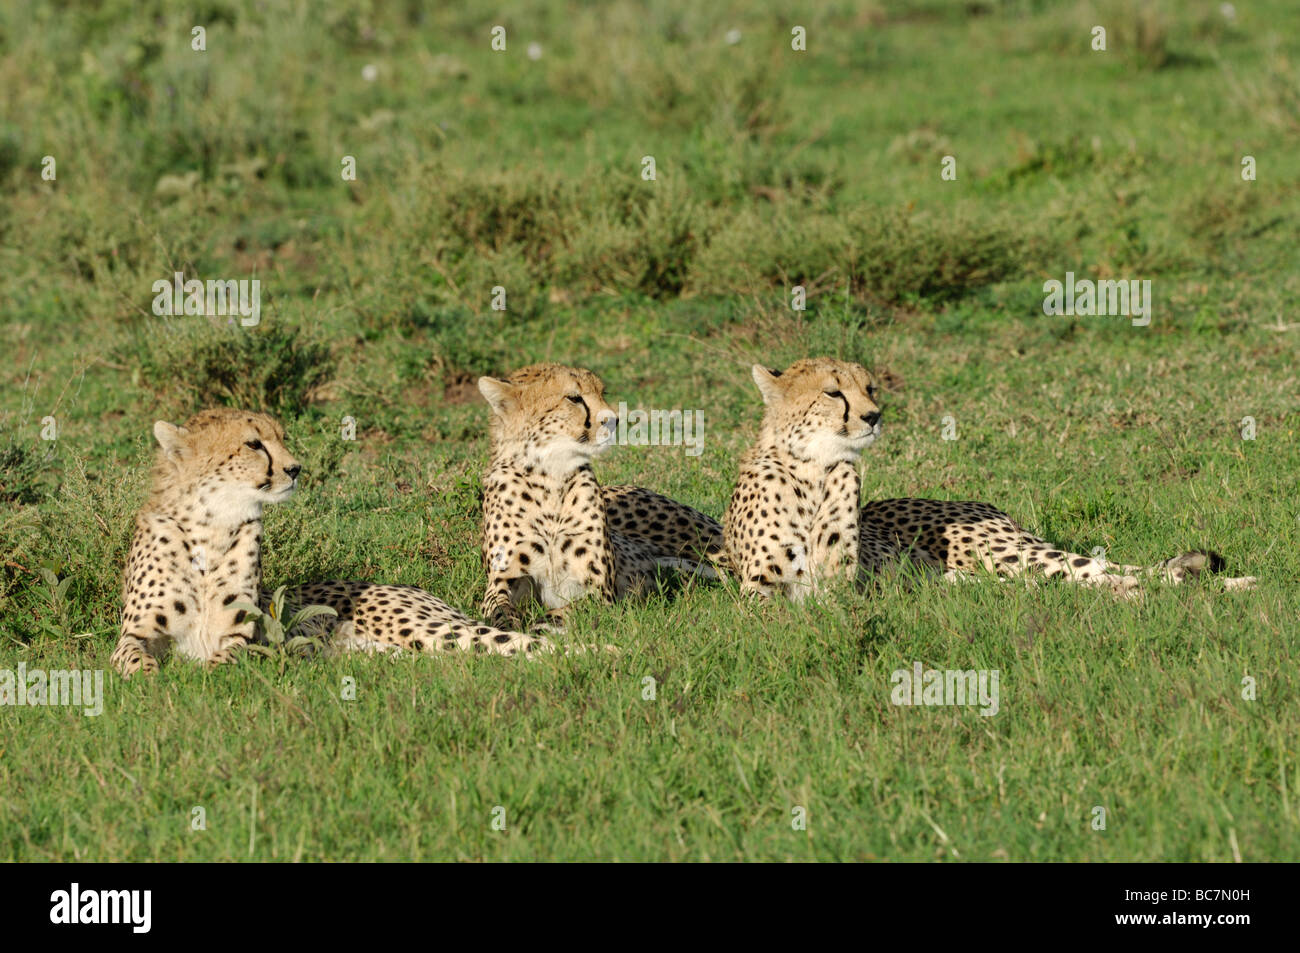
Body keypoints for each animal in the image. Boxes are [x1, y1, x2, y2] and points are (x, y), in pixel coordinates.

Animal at [113, 408, 553, 676]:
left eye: (282, 437)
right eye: (253, 444)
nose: (295, 469)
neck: (212, 526)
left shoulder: (241, 635)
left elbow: (230, 657)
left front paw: (208, 673)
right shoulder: (134, 633)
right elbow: (130, 655)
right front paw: (152, 677)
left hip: (423, 628)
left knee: (513, 642)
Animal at [478, 361, 722, 629]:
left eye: (601, 392)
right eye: (574, 398)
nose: (614, 420)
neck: (550, 478)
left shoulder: (599, 592)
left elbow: (563, 612)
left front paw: (537, 628)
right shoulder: (505, 578)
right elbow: (498, 607)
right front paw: (503, 626)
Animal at [728, 361, 1253, 598]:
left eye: (870, 387)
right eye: (833, 392)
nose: (874, 416)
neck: (808, 473)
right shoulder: (764, 596)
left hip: (1004, 552)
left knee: (1106, 571)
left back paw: (1233, 584)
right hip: (990, 570)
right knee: (1081, 581)